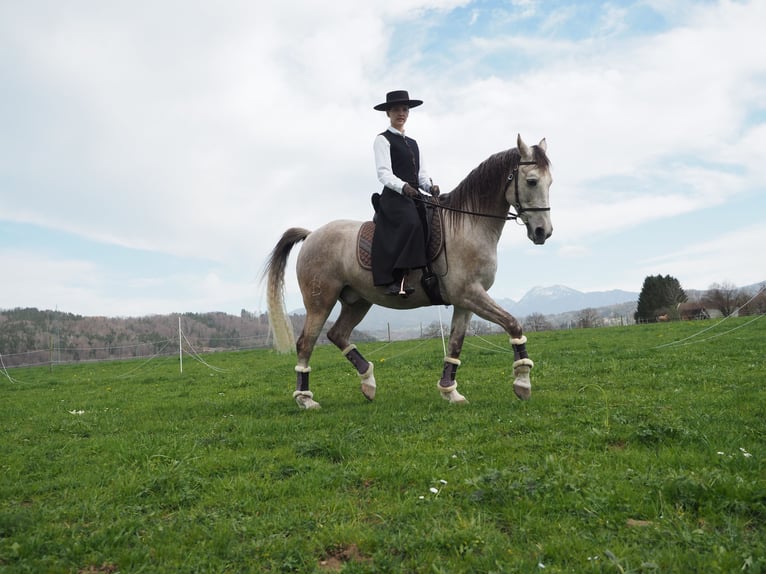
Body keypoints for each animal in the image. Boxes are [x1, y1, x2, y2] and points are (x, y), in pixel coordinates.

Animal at [264, 134, 553, 409]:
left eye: (550, 183)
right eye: (531, 181)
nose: (543, 232)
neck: (467, 224)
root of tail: (312, 234)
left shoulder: (466, 301)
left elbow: (456, 344)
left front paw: (450, 391)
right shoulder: (470, 294)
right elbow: (513, 324)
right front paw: (522, 382)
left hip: (358, 301)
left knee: (337, 334)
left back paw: (368, 382)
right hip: (320, 303)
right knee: (306, 343)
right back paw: (305, 398)